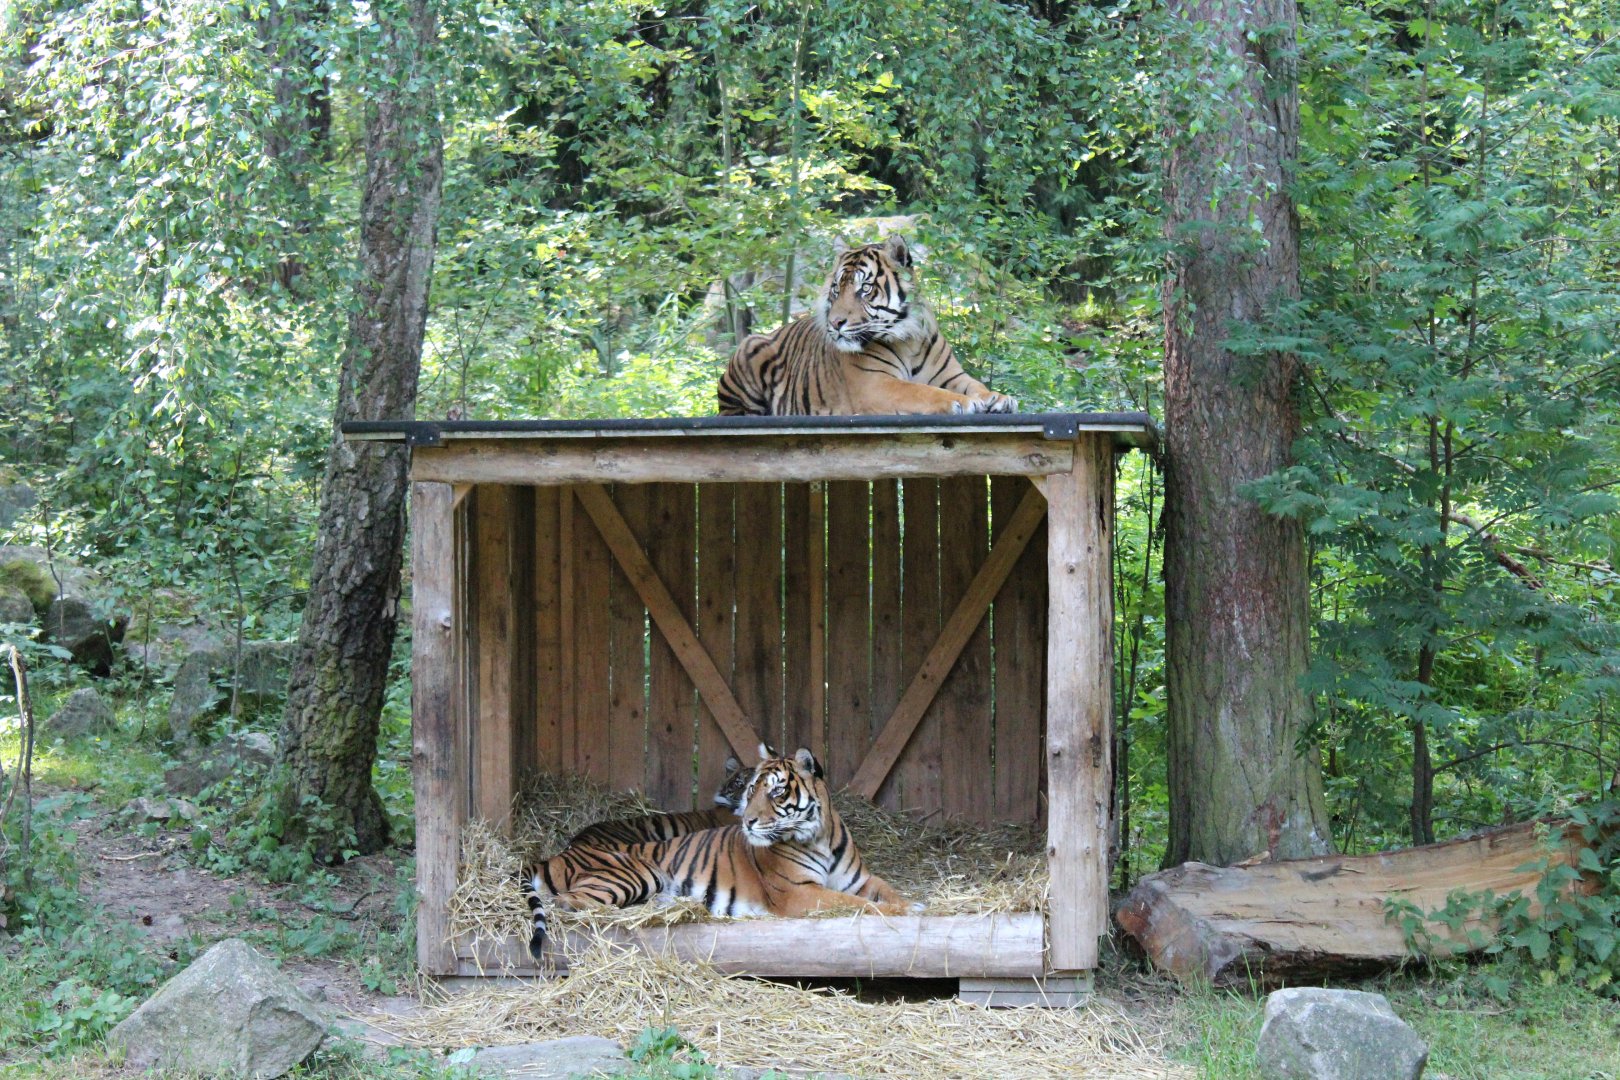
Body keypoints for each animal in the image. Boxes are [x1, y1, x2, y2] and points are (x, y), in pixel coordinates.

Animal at [715, 235, 1018, 417]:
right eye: (836, 289)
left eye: (865, 289)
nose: (835, 322)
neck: (909, 339)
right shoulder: (874, 384)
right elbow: (921, 391)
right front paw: (964, 403)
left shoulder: (953, 376)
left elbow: (976, 384)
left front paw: (998, 398)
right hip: (750, 347)